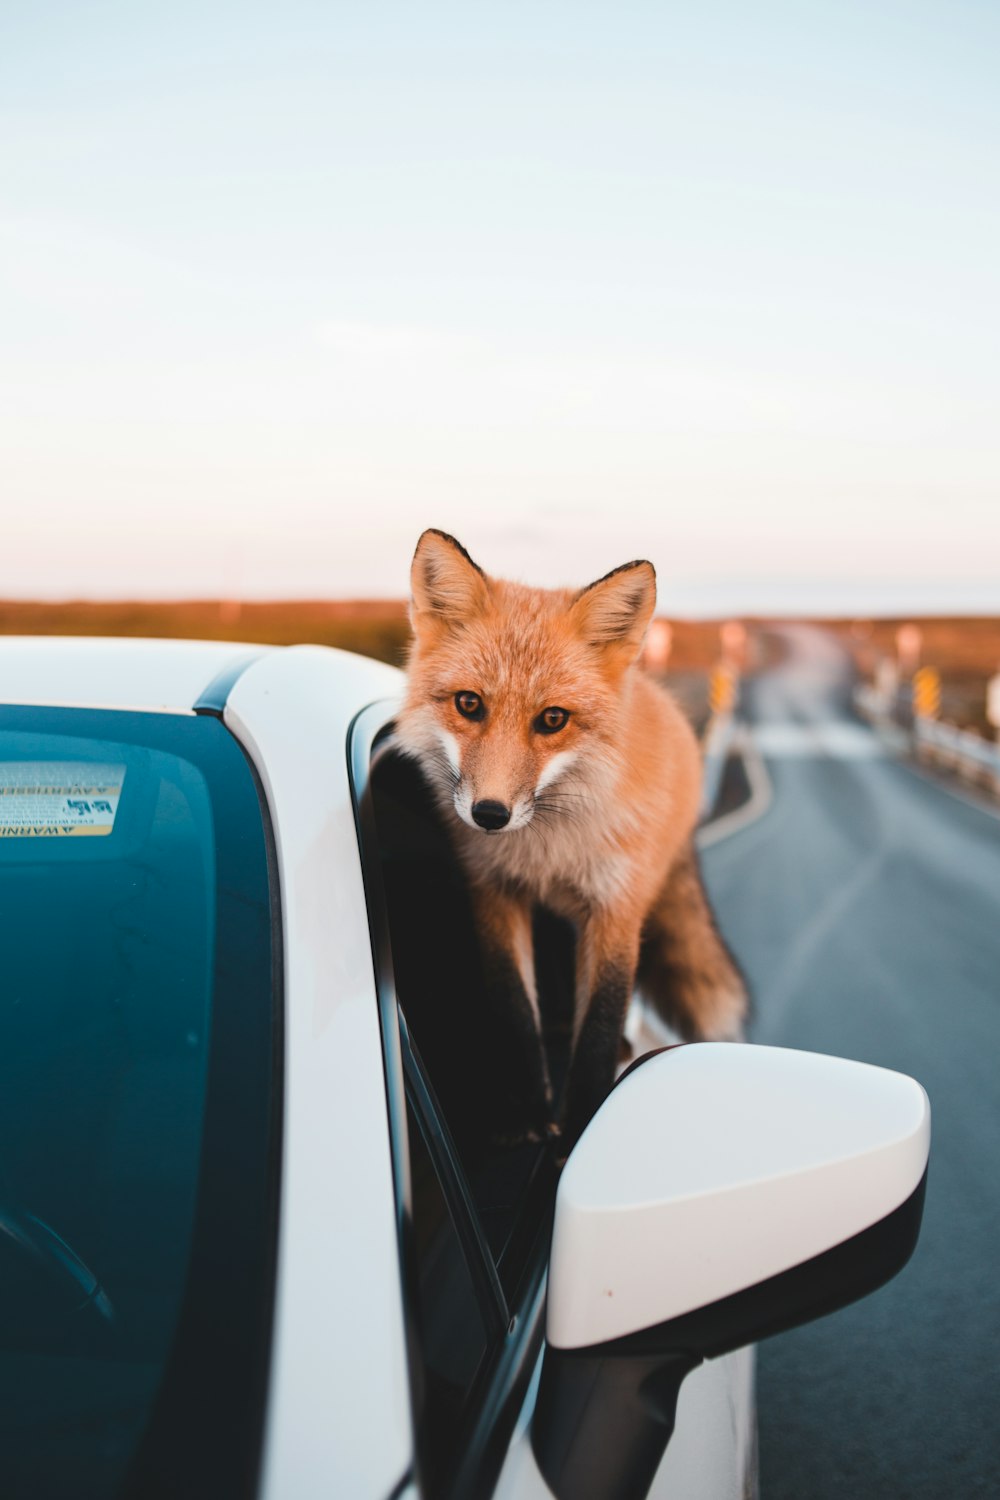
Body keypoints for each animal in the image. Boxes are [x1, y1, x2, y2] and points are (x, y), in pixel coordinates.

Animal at [395, 531, 746, 1146]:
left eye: (552, 719)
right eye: (469, 704)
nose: (490, 814)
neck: (548, 855)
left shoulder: (616, 909)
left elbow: (600, 1031)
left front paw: (580, 1130)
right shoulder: (494, 892)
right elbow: (514, 1011)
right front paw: (533, 1119)